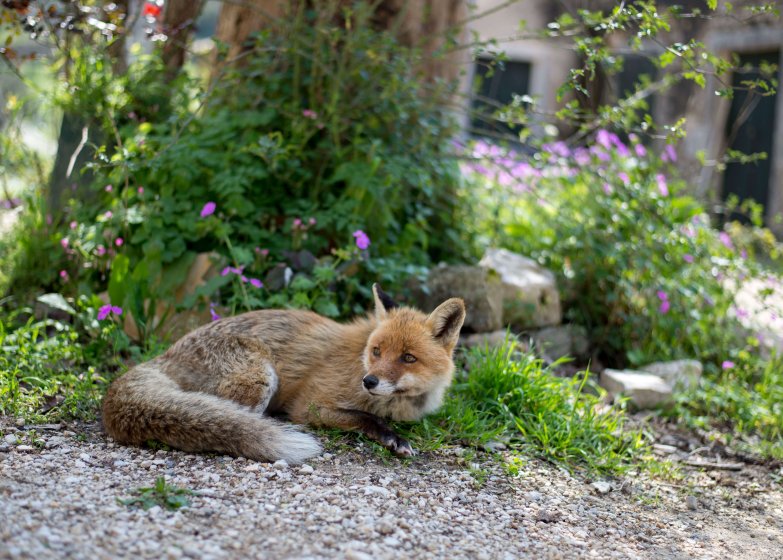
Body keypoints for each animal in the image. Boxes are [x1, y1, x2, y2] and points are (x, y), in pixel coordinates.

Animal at [100, 284, 462, 464]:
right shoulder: (311, 405)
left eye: (408, 358)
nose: (369, 381)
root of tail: (165, 355)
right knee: (229, 420)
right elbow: (366, 418)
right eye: (376, 351)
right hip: (260, 378)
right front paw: (391, 436)